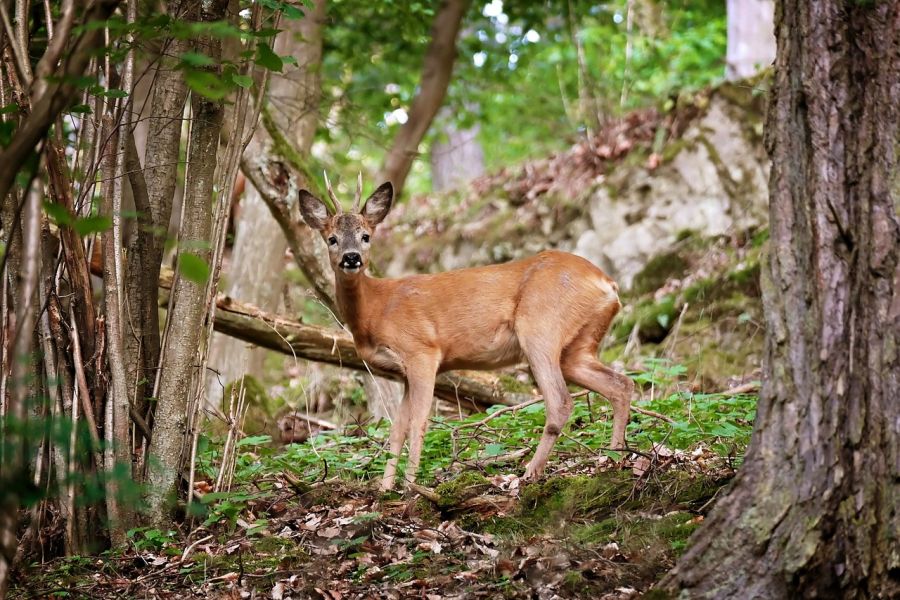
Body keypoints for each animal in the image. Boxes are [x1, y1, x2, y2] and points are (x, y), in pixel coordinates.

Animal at [298, 176, 632, 490]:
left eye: (365, 236)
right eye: (332, 239)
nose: (351, 257)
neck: (375, 309)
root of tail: (607, 284)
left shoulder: (422, 351)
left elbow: (419, 422)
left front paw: (410, 487)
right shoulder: (403, 373)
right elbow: (397, 429)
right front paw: (384, 489)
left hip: (540, 327)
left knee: (560, 401)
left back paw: (529, 474)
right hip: (578, 345)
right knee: (621, 384)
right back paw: (614, 459)